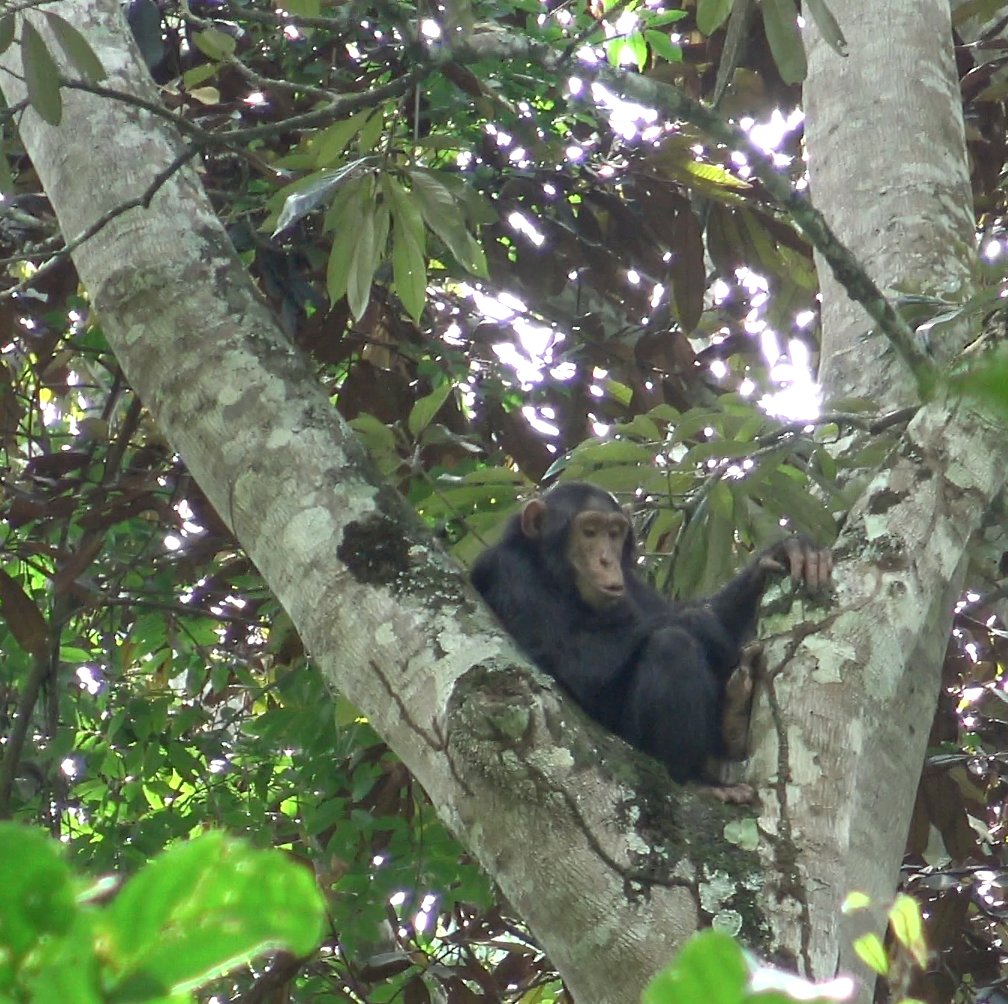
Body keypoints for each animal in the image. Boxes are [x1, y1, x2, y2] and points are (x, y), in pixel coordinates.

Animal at [467, 477, 830, 790]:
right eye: (589, 531)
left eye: (614, 533)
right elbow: (579, 661)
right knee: (672, 645)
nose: (606, 559)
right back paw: (700, 777)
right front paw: (705, 627)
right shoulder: (508, 571)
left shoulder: (632, 581)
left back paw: (733, 719)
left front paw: (782, 554)